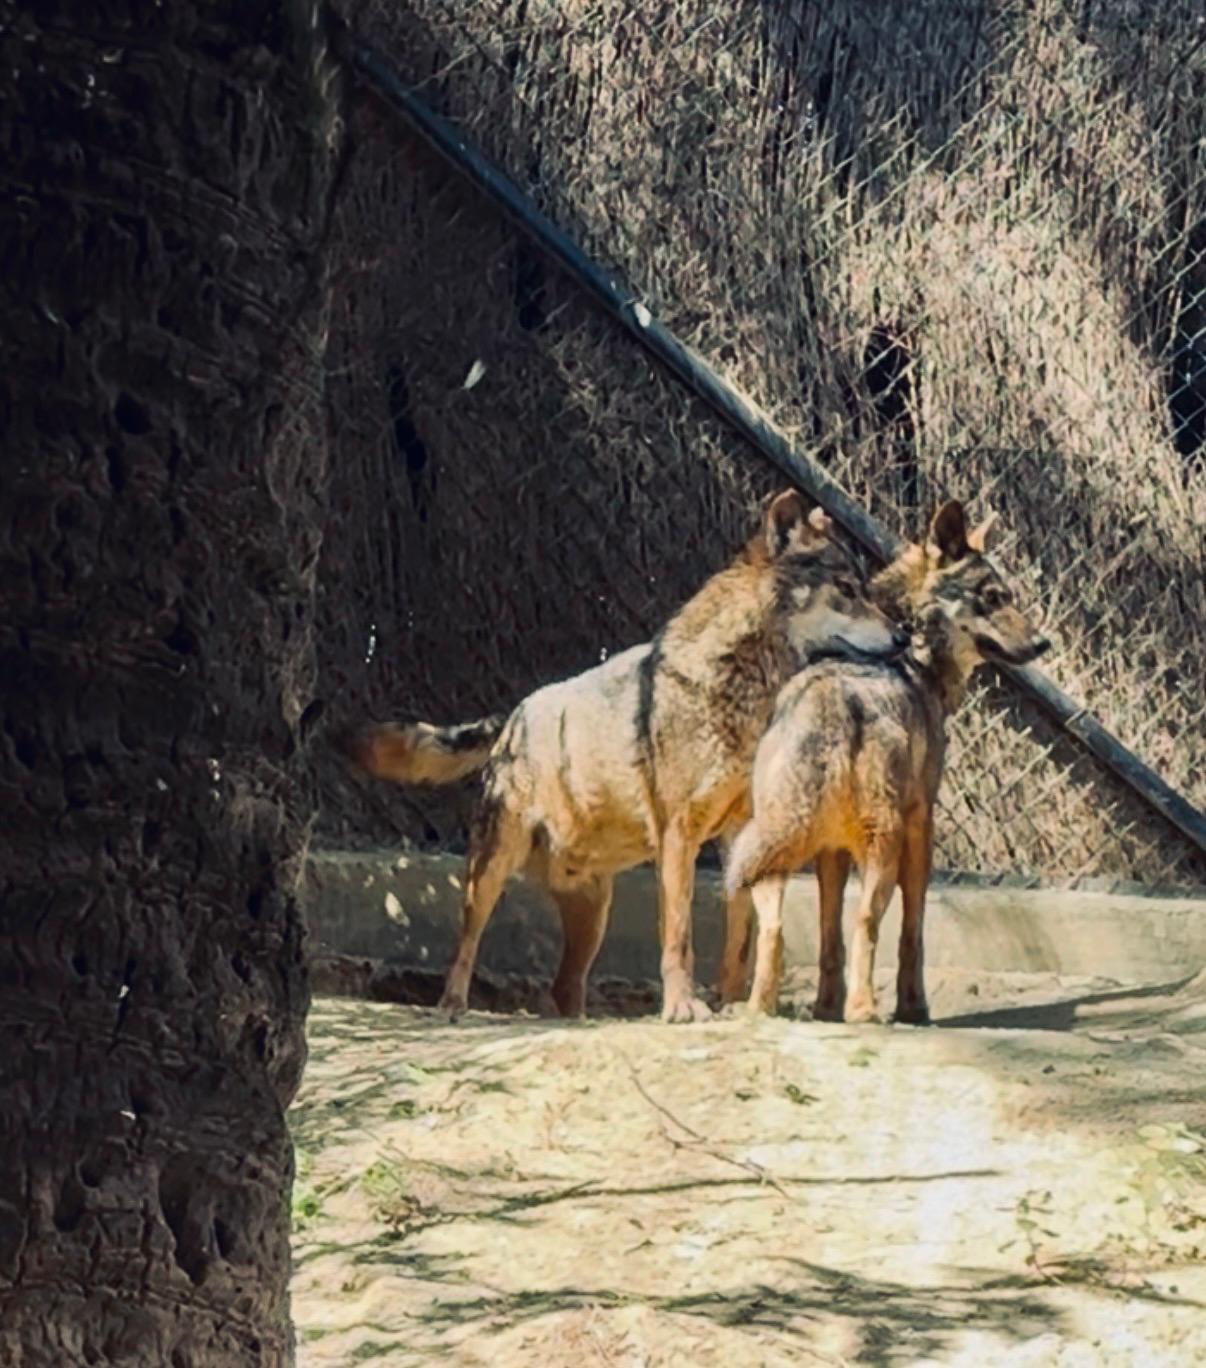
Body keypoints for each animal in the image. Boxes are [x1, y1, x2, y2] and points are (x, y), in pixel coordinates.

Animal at [349, 490, 908, 1023]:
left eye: (866, 588)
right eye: (848, 589)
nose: (903, 636)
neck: (744, 684)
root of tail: (514, 714)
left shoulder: (742, 836)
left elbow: (743, 939)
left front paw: (731, 1004)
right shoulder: (679, 836)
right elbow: (679, 938)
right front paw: (682, 1008)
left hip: (594, 911)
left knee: (564, 987)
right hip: (489, 872)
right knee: (465, 946)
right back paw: (452, 1004)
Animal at [723, 500, 1050, 1024]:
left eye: (1009, 596)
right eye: (993, 597)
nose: (1042, 644)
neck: (915, 653)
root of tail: (830, 703)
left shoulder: (831, 853)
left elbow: (828, 935)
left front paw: (825, 1008)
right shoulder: (922, 826)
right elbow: (911, 932)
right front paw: (913, 1006)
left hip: (770, 849)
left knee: (774, 929)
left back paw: (761, 1010)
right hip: (884, 845)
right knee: (867, 921)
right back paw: (864, 1011)